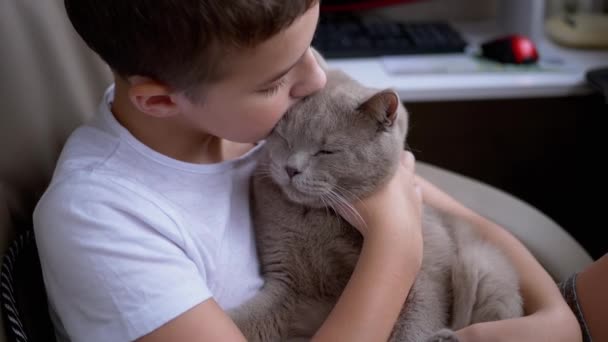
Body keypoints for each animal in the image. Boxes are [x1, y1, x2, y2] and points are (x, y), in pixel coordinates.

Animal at [228, 70, 524, 342]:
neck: (314, 219)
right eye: (284, 137)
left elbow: (412, 327)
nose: (291, 168)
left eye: (327, 151)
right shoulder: (289, 285)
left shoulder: (426, 273)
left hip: (479, 263)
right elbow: (243, 322)